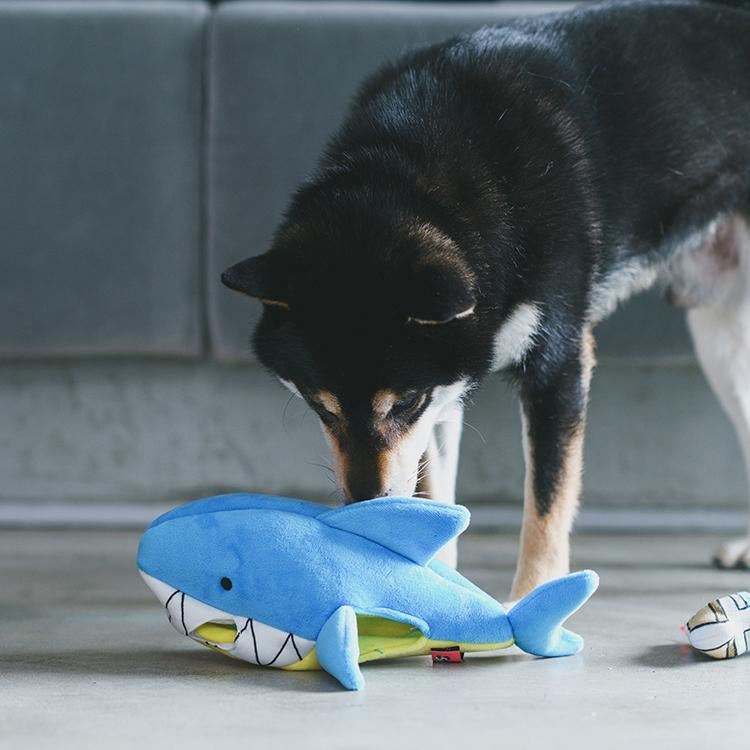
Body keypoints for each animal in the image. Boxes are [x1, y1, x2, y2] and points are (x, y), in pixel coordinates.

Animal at [221, 0, 750, 598]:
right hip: (722, 344)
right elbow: (434, 495)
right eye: (320, 406)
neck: (427, 167)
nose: (364, 503)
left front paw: (530, 603)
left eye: (403, 402)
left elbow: (545, 509)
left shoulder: (554, 367)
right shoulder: (444, 392)